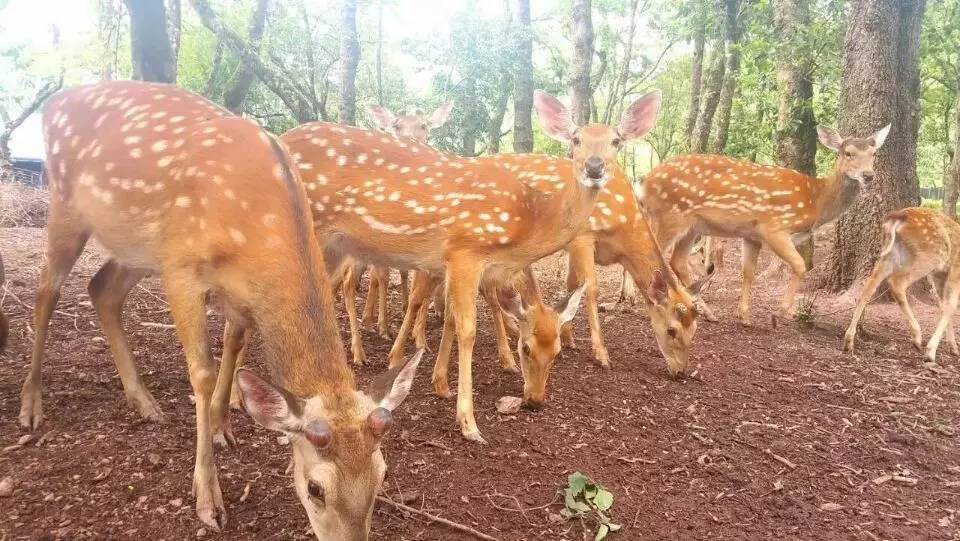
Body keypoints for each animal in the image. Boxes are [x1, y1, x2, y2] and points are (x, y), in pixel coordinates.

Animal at [20, 82, 420, 536]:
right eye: (315, 489)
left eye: (382, 474)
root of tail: (55, 103)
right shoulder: (182, 269)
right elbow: (203, 373)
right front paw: (208, 498)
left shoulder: (237, 291)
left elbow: (234, 343)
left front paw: (221, 427)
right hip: (66, 208)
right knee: (45, 294)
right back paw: (31, 405)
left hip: (138, 249)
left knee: (101, 289)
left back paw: (144, 402)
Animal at [270, 89, 660, 442]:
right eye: (575, 140)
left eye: (616, 141)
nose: (594, 167)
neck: (526, 224)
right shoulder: (465, 252)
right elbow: (468, 329)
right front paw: (469, 423)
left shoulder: (453, 266)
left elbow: (452, 321)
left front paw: (440, 384)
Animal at [640, 123, 888, 324]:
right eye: (848, 153)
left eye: (874, 153)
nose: (868, 175)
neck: (815, 201)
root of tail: (644, 182)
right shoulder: (773, 227)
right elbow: (800, 265)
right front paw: (778, 313)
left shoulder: (751, 235)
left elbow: (748, 271)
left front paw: (744, 316)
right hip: (671, 215)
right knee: (653, 255)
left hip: (693, 226)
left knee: (677, 260)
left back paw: (705, 311)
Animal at [840, 207, 960, 362]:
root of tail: (897, 216)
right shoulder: (954, 271)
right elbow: (950, 306)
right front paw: (932, 351)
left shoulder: (940, 275)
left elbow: (943, 304)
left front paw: (953, 348)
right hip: (929, 255)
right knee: (897, 282)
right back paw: (917, 338)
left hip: (891, 255)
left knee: (869, 285)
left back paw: (848, 341)